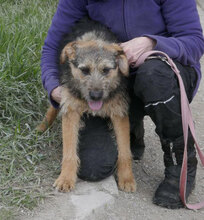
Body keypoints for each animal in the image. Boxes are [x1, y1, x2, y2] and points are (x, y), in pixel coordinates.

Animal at [37, 17, 136, 192]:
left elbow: (125, 152)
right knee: (53, 106)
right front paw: (66, 178)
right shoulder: (71, 110)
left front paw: (127, 178)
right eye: (84, 70)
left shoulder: (119, 113)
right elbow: (69, 151)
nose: (95, 96)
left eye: (106, 70)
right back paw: (42, 127)